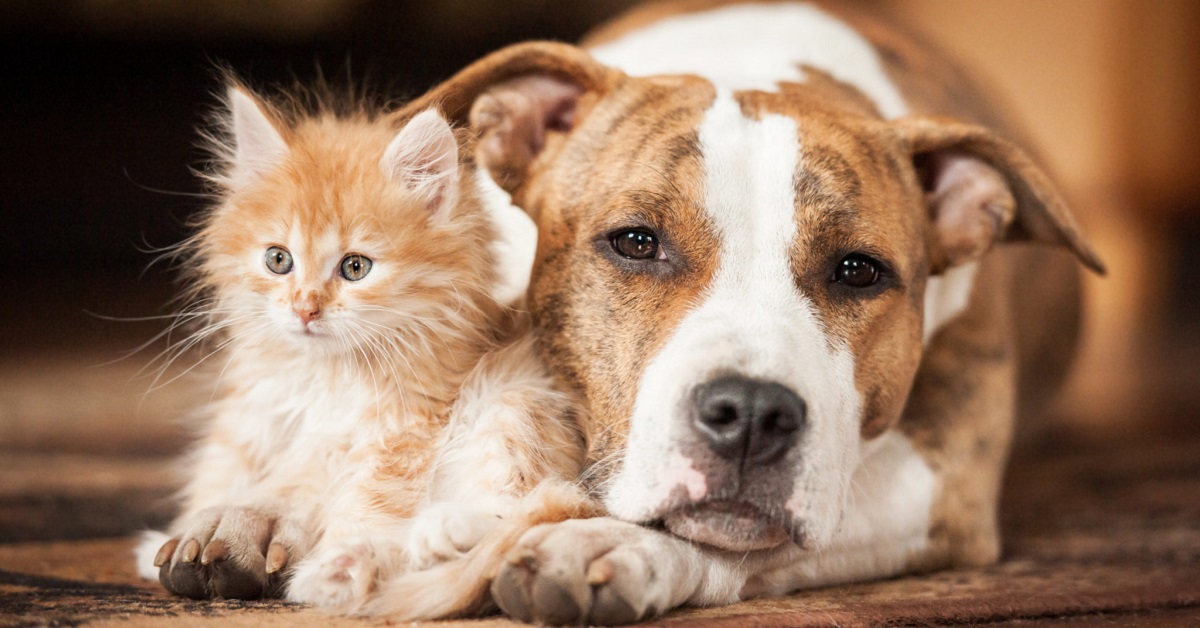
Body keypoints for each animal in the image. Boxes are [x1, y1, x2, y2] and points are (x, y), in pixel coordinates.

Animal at [135, 81, 585, 612]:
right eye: (278, 260)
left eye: (355, 267)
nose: (305, 308)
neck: (325, 376)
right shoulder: (252, 420)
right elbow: (230, 478)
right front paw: (185, 534)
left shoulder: (409, 426)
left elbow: (372, 494)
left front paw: (337, 567)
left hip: (517, 401)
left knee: (535, 504)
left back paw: (434, 534)